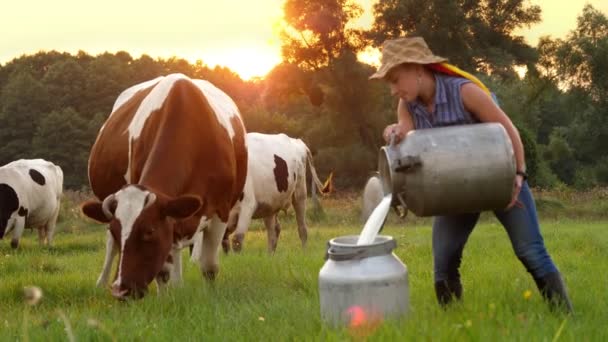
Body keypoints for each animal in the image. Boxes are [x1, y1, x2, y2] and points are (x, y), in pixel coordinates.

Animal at [81, 74, 247, 300]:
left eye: (149, 231)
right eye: (116, 231)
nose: (120, 290)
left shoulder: (219, 210)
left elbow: (209, 266)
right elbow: (162, 271)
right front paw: (164, 299)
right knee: (111, 249)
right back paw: (101, 282)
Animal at [191, 132, 326, 258]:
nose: (193, 263)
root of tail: (297, 141)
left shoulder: (247, 206)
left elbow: (237, 240)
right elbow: (224, 240)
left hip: (300, 193)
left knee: (302, 228)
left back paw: (304, 253)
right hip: (270, 204)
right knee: (274, 230)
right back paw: (270, 257)